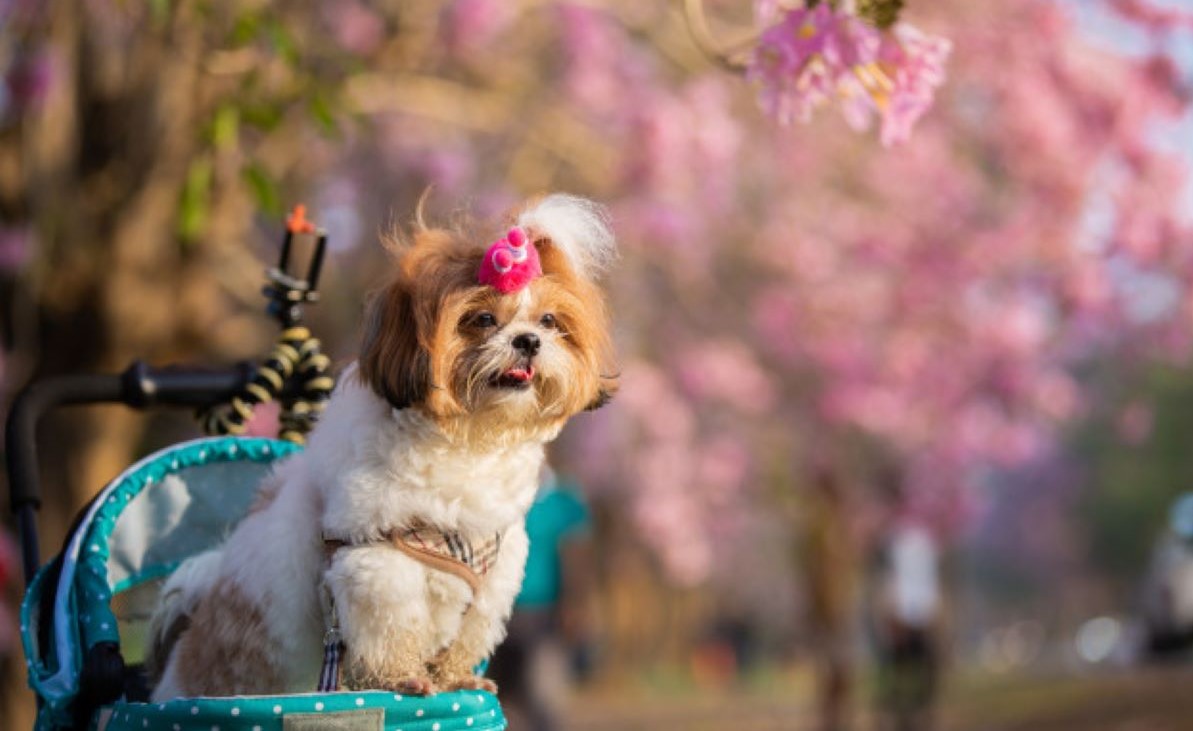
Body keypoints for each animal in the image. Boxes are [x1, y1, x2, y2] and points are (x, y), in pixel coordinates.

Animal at [146, 195, 625, 701]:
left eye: (549, 321)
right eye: (482, 319)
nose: (529, 340)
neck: (468, 440)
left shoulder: (496, 570)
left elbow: (469, 633)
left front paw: (455, 678)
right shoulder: (376, 557)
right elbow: (392, 626)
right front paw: (401, 678)